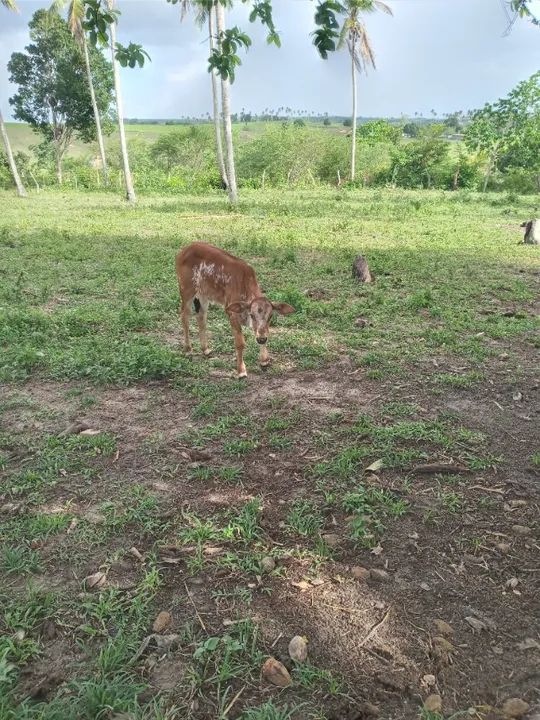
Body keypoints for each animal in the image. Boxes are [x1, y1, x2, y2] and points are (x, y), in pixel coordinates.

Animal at [175, 242, 295, 379]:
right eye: (252, 315)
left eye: (270, 316)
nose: (261, 339)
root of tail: (185, 249)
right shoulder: (232, 313)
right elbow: (240, 343)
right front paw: (241, 371)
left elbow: (263, 332)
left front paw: (264, 360)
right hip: (186, 290)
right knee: (184, 316)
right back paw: (188, 349)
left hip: (203, 295)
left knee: (201, 317)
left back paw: (205, 349)